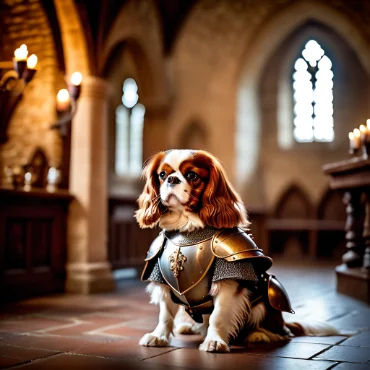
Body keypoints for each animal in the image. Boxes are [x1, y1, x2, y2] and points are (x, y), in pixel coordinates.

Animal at [136, 149, 338, 352]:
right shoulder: (161, 277)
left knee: (280, 330)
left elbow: (218, 315)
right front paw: (158, 336)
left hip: (266, 300)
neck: (188, 229)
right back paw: (187, 326)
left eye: (192, 175)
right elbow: (165, 313)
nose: (172, 179)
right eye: (162, 175)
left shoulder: (228, 281)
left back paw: (258, 335)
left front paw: (214, 341)